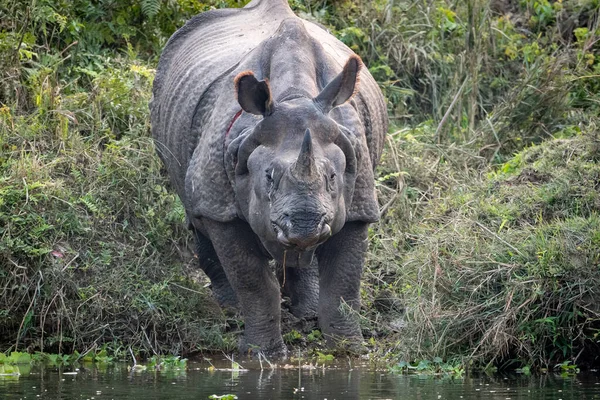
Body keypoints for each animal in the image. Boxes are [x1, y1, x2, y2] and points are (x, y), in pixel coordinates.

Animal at [150, 0, 390, 356]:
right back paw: (230, 309)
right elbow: (253, 281)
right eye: (268, 177)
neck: (294, 96)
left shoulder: (358, 199)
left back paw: (306, 312)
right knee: (194, 211)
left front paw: (349, 352)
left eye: (333, 177)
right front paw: (261, 354)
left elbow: (345, 283)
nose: (305, 223)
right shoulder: (220, 204)